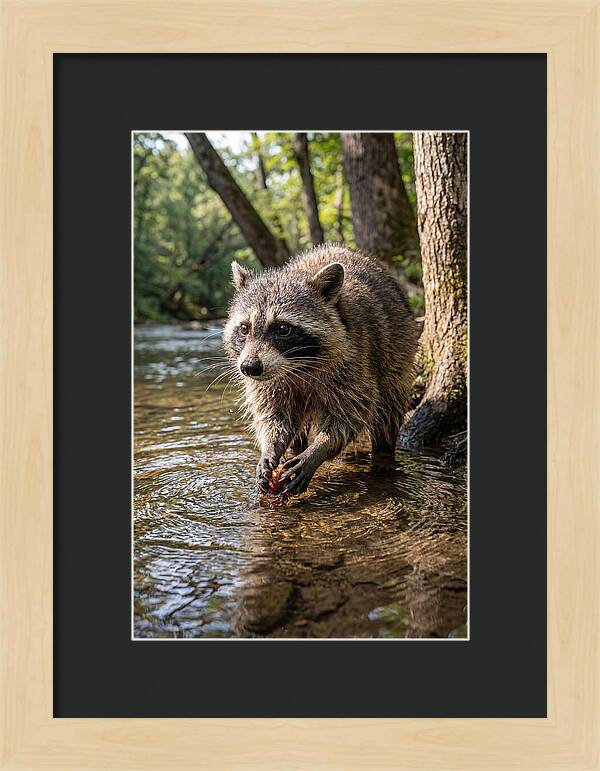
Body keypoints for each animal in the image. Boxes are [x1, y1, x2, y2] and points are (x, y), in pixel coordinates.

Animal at [223, 244, 418, 497]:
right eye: (244, 328)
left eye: (283, 328)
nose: (249, 368)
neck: (296, 366)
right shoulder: (269, 382)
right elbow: (274, 415)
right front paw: (270, 447)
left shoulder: (354, 361)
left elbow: (349, 415)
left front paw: (319, 449)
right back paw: (296, 448)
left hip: (398, 347)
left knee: (389, 405)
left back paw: (384, 453)